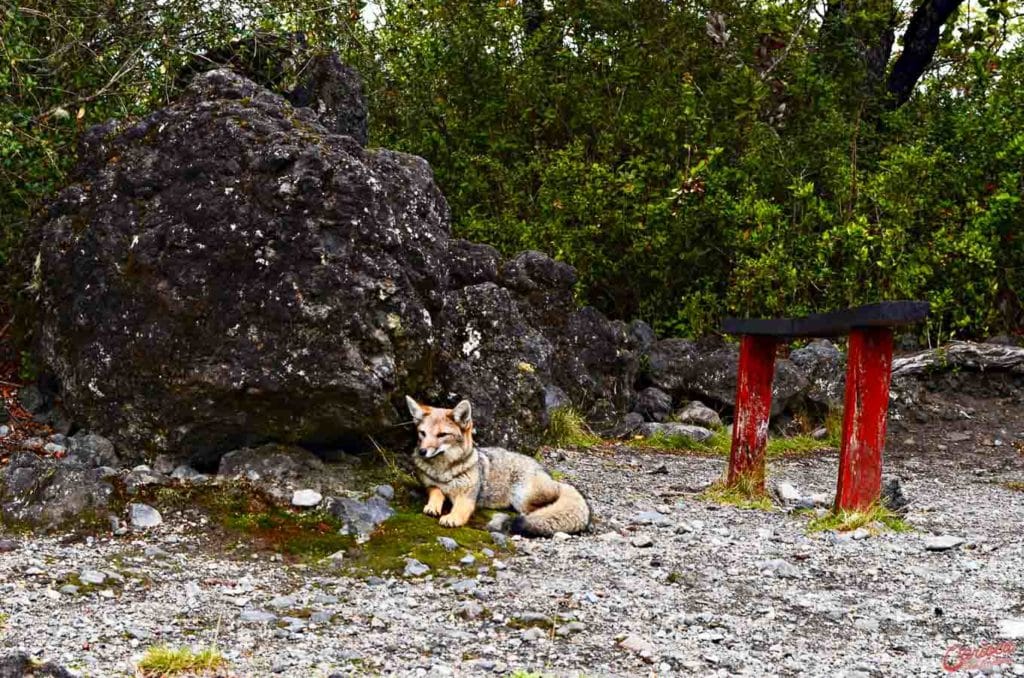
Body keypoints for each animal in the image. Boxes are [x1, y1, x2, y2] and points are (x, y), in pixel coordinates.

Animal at [401, 395, 589, 540]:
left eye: (442, 435)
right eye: (422, 433)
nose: (422, 451)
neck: (444, 472)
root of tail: (555, 480)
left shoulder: (467, 497)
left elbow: (460, 509)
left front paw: (452, 517)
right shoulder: (430, 485)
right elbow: (436, 492)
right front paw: (433, 506)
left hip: (522, 497)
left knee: (542, 509)